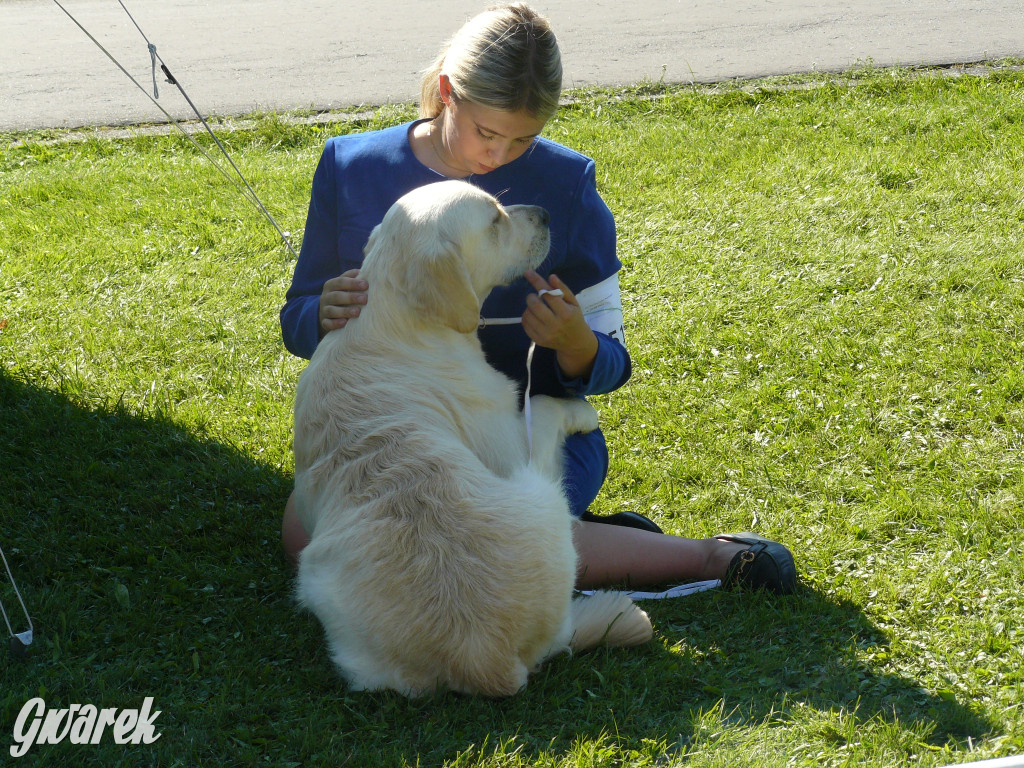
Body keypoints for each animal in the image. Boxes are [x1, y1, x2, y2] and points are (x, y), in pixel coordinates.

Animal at [292, 180, 651, 696]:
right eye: (495, 220)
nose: (545, 213)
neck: (396, 317)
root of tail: (489, 662)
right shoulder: (510, 438)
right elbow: (544, 406)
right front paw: (580, 410)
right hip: (545, 497)